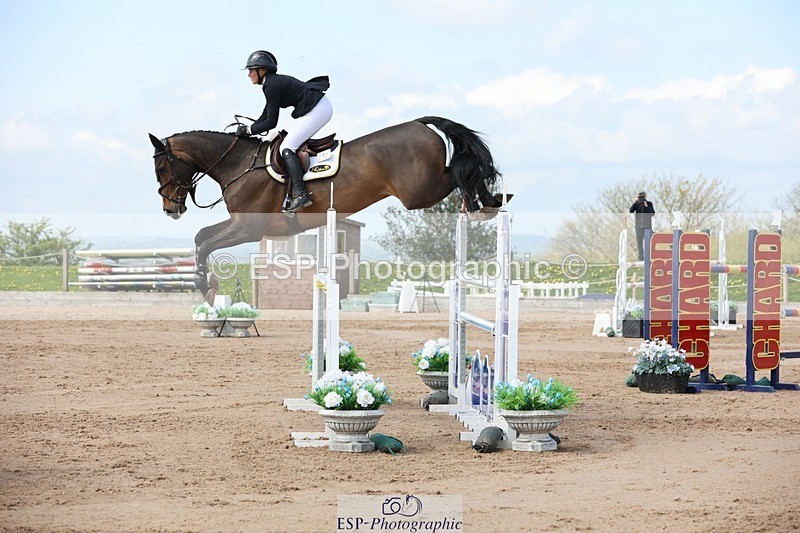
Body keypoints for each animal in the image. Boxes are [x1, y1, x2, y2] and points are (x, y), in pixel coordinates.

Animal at [149, 116, 504, 302]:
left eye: (162, 168)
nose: (170, 208)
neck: (239, 164)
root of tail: (420, 123)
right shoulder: (239, 224)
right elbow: (201, 237)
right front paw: (205, 285)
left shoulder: (249, 229)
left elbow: (207, 243)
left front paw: (203, 285)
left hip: (419, 193)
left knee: (461, 170)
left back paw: (488, 201)